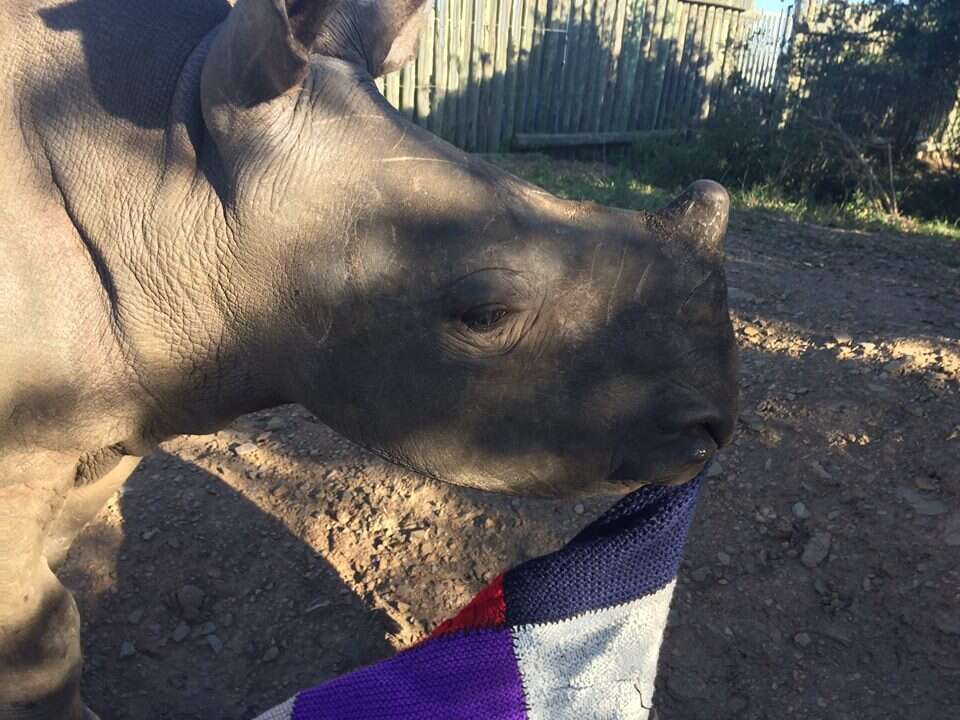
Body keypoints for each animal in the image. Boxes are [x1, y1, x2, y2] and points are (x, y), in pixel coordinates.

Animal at [0, 0, 736, 716]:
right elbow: (42, 633)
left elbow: (54, 568)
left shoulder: (114, 406)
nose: (715, 426)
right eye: (486, 316)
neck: (165, 167)